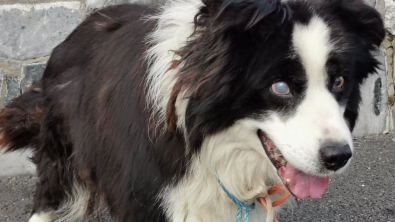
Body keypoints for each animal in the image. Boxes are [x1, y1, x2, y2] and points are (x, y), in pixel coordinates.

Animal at [0, 0, 384, 221]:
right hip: (63, 137)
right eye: (280, 87)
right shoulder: (146, 195)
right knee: (51, 183)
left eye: (339, 81)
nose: (338, 157)